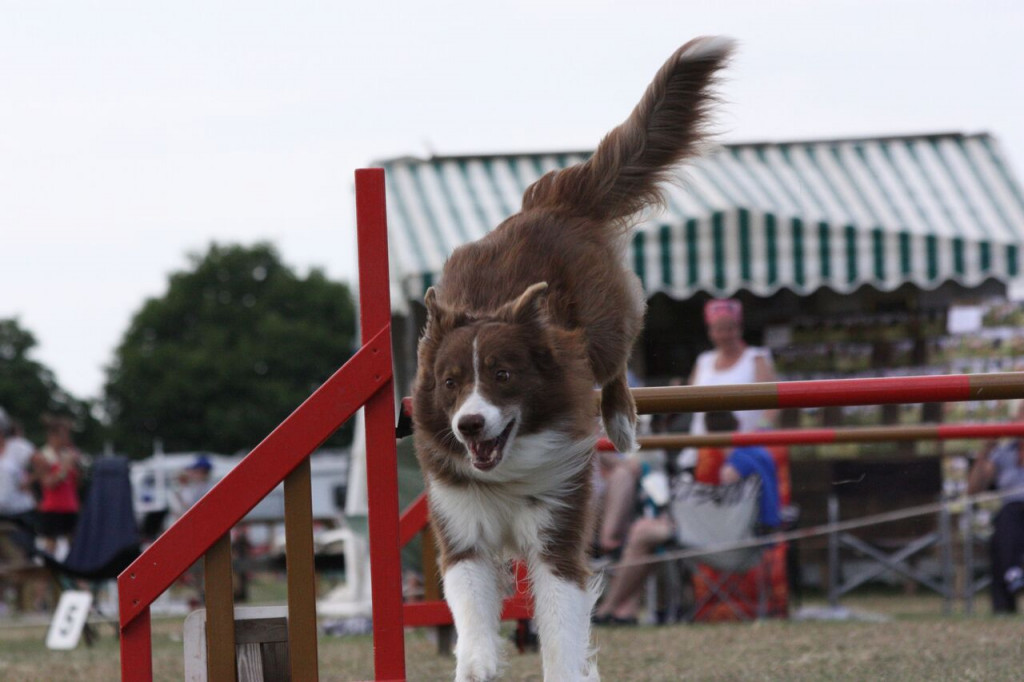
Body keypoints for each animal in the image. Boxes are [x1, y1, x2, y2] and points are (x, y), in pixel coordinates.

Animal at [411, 38, 733, 679]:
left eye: (503, 375)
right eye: (450, 382)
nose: (470, 425)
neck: (507, 470)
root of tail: (551, 203)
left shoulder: (559, 529)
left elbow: (562, 623)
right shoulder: (462, 529)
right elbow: (470, 614)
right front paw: (478, 665)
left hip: (607, 327)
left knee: (617, 362)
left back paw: (623, 420)